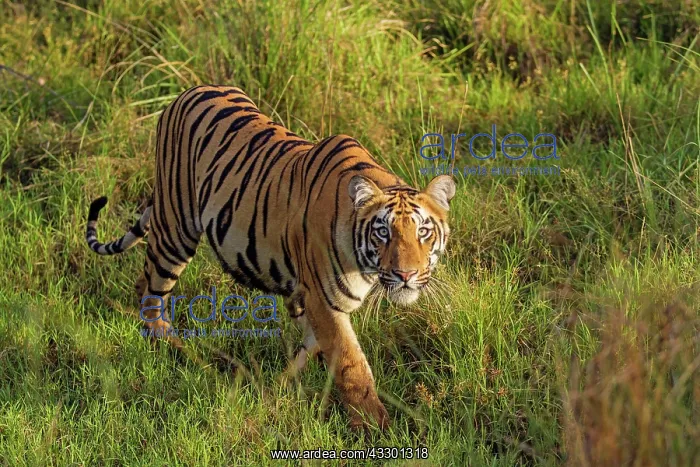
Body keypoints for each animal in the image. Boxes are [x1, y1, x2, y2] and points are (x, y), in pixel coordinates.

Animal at [85, 85, 456, 430]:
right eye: (383, 233)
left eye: (423, 232)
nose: (407, 274)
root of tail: (187, 92)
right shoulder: (325, 301)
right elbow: (353, 367)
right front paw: (377, 428)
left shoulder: (308, 297)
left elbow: (311, 347)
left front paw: (278, 387)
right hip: (176, 227)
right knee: (153, 297)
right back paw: (179, 350)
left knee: (143, 282)